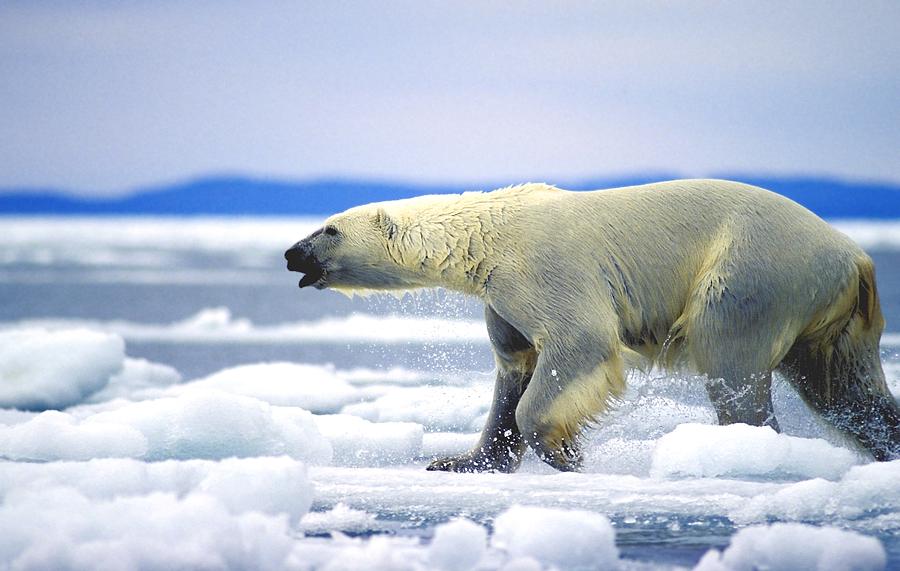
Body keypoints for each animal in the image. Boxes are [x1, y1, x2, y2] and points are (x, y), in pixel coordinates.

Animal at [284, 180, 896, 474]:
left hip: (749, 273)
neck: (488, 235)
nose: (291, 253)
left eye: (329, 228)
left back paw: (740, 451)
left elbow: (579, 341)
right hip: (831, 318)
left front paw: (566, 453)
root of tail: (857, 257)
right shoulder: (501, 301)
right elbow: (513, 370)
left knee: (732, 364)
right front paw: (459, 461)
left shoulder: (542, 267)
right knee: (845, 390)